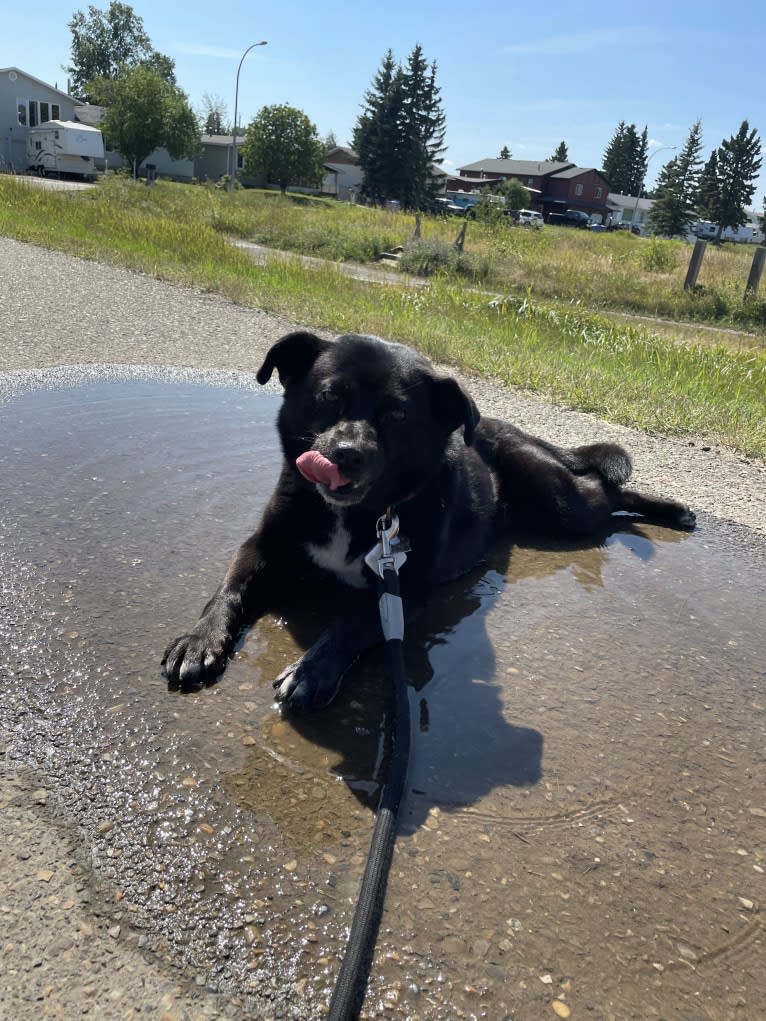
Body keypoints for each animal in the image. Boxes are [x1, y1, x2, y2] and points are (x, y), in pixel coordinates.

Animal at [162, 332, 694, 710]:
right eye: (329, 397)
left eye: (397, 415)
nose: (346, 454)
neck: (364, 513)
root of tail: (508, 426)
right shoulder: (265, 544)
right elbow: (229, 588)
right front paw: (201, 640)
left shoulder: (405, 584)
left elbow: (354, 620)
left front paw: (313, 670)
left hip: (559, 503)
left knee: (608, 491)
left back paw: (672, 510)